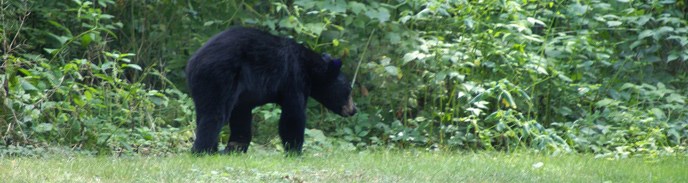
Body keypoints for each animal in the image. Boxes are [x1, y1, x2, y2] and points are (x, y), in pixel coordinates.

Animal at [185, 26, 358, 154]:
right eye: (349, 90)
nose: (354, 109)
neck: (310, 67)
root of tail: (193, 62)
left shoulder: (243, 96)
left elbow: (241, 115)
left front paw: (235, 147)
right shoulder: (293, 78)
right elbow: (293, 114)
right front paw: (295, 151)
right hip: (219, 76)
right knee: (214, 114)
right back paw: (203, 150)